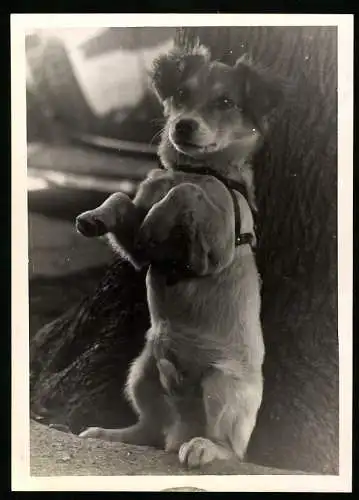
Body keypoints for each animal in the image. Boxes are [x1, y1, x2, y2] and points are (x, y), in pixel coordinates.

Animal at [76, 44, 286, 468]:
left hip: (221, 385)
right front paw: (95, 216)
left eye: (226, 102)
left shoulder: (214, 253)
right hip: (141, 372)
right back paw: (109, 434)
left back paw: (204, 448)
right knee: (150, 430)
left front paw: (160, 215)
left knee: (231, 449)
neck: (195, 169)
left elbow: (185, 194)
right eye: (182, 94)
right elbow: (121, 197)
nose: (184, 126)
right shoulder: (140, 254)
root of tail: (185, 428)